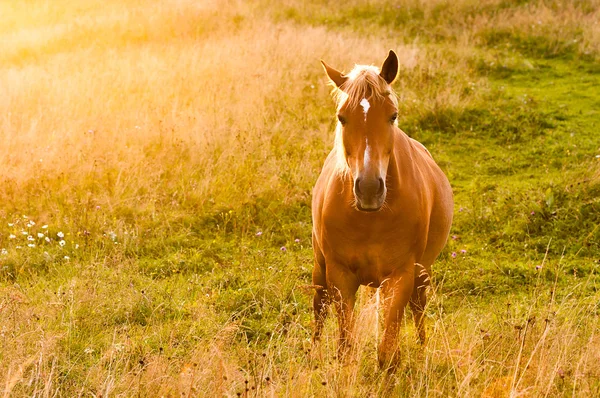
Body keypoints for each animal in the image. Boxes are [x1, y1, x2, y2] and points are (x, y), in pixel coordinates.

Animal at [312, 50, 452, 370]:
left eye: (393, 115)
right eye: (342, 117)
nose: (368, 189)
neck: (369, 221)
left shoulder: (400, 276)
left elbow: (388, 352)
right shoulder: (340, 276)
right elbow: (346, 347)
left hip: (420, 274)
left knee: (418, 308)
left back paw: (422, 350)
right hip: (320, 267)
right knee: (318, 307)